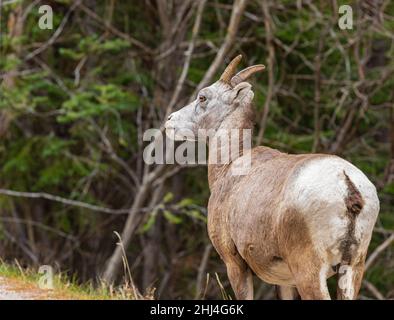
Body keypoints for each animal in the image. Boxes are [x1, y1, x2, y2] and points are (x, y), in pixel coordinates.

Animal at [164, 55, 378, 300]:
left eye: (203, 96)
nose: (169, 120)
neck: (230, 166)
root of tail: (347, 186)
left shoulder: (234, 263)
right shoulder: (284, 281)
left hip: (310, 271)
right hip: (352, 269)